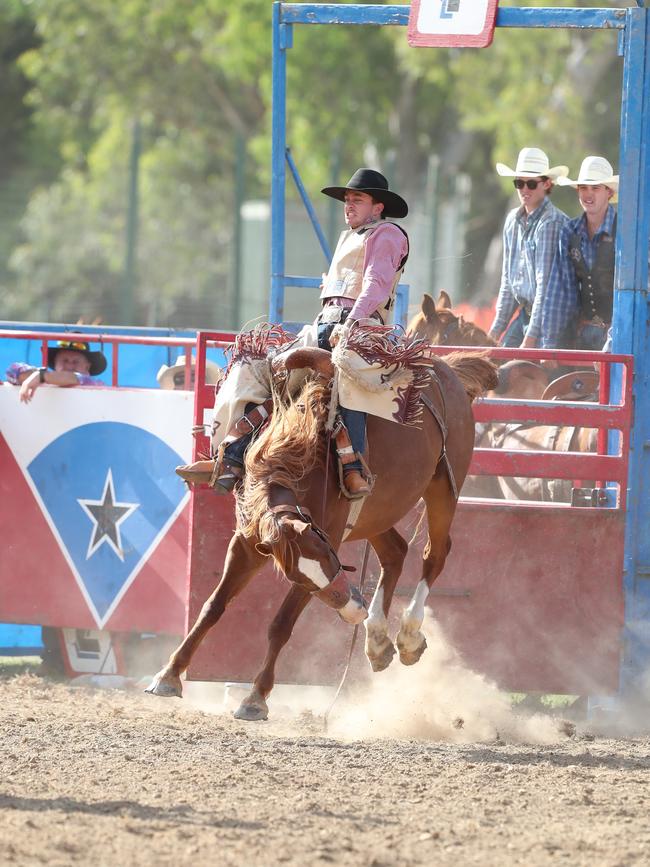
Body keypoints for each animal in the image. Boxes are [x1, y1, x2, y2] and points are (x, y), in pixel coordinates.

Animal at [144, 342, 494, 724]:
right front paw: (168, 675)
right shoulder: (248, 544)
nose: (353, 609)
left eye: (327, 555)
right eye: (297, 573)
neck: (297, 457)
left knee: (435, 554)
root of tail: (446, 369)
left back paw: (408, 636)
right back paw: (377, 641)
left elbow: (281, 625)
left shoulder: (329, 537)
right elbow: (213, 606)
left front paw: (255, 698)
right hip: (376, 513)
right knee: (396, 552)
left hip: (443, 487)